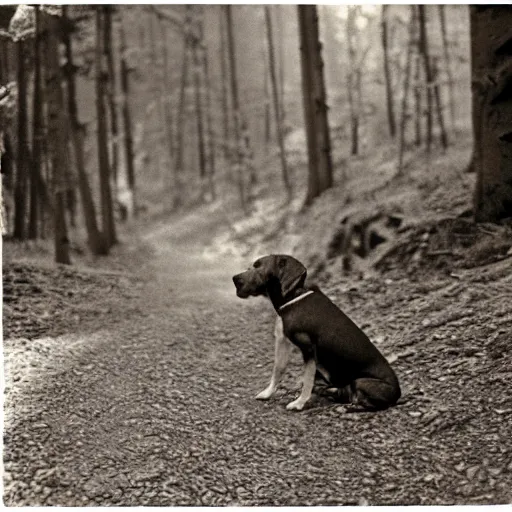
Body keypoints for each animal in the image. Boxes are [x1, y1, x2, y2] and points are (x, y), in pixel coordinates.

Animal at [234, 256, 402, 412]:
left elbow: (307, 379)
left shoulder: (308, 349)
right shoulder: (283, 342)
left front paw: (299, 403)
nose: (235, 279)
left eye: (259, 267)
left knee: (367, 404)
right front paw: (268, 393)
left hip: (361, 382)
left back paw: (345, 406)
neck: (293, 297)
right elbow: (278, 370)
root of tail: (398, 394)